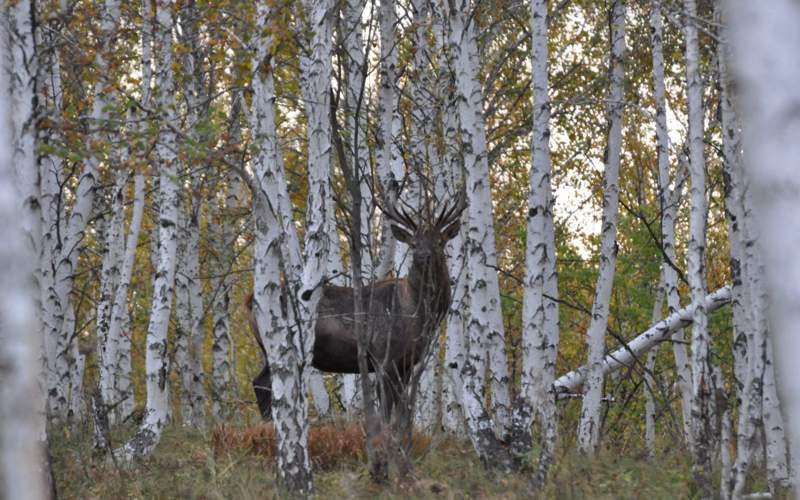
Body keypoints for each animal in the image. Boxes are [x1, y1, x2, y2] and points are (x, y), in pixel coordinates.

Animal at [244, 191, 468, 422]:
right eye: (413, 243)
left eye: (439, 241)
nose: (424, 256)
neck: (417, 314)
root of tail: (250, 300)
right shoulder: (383, 356)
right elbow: (385, 408)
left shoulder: (406, 363)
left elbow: (400, 407)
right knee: (264, 383)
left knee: (260, 382)